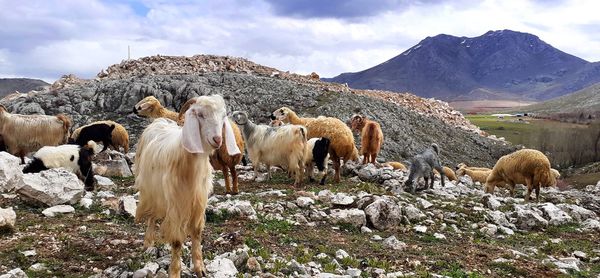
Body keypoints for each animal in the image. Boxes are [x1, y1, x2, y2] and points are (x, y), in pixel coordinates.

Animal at [135, 94, 240, 276]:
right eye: (200, 115)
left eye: (222, 116)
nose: (218, 139)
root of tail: (159, 122)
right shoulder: (176, 203)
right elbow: (177, 241)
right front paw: (175, 272)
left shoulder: (199, 200)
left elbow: (196, 233)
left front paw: (200, 268)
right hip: (151, 189)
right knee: (152, 215)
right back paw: (148, 242)